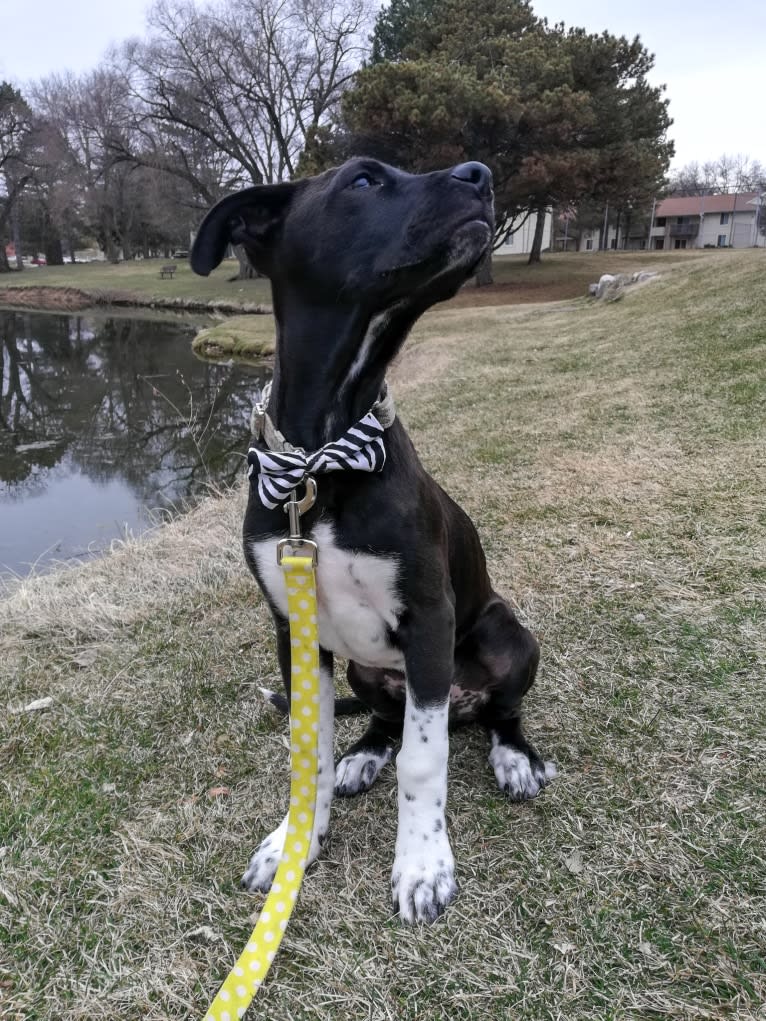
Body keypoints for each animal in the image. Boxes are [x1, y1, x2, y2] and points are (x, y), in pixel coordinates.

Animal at [190, 153, 551, 927]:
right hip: (362, 668)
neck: (322, 461)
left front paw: (422, 866)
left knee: (499, 711)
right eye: (362, 181)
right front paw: (295, 841)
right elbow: (311, 747)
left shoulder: (430, 617)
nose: (480, 174)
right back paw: (365, 753)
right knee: (387, 720)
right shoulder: (294, 631)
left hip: (505, 633)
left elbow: (425, 758)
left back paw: (512, 755)